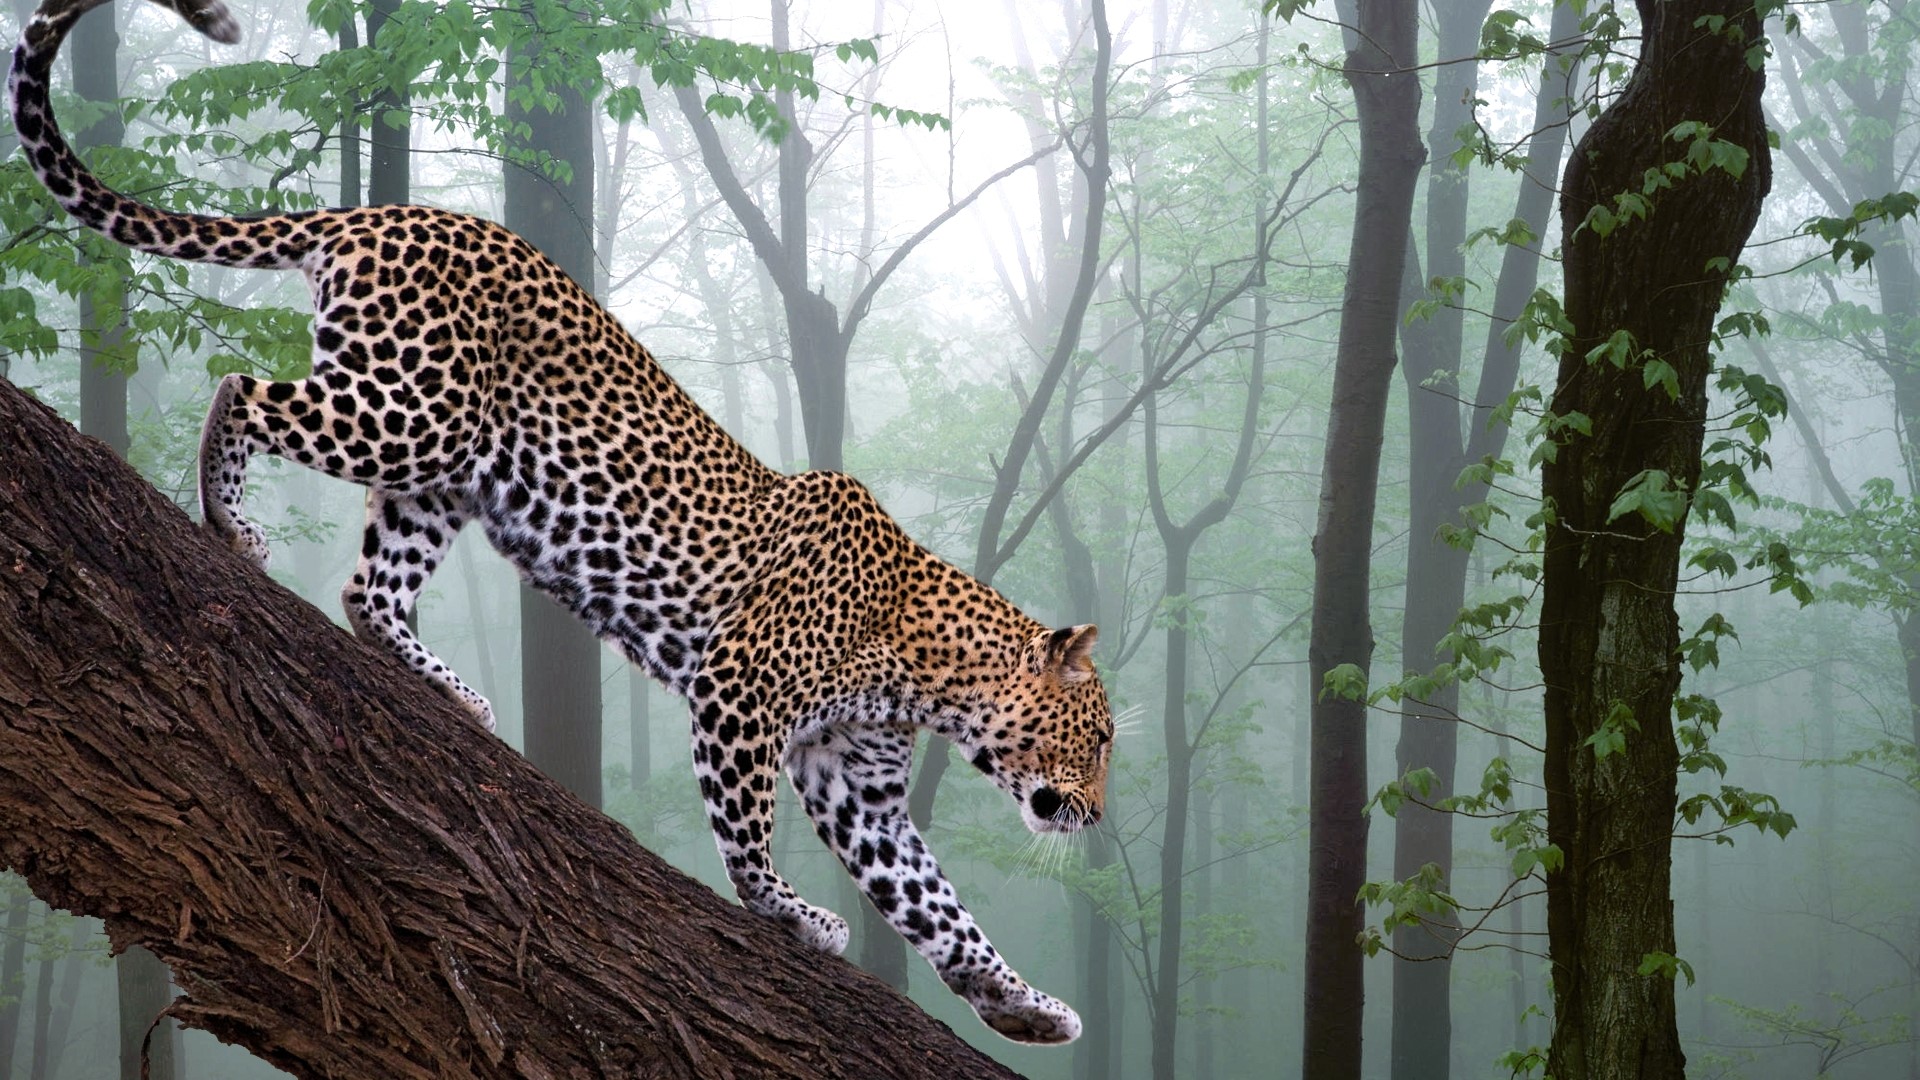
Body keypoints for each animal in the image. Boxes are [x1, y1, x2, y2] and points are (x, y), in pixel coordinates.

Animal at [12, 0, 1116, 1045]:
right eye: (1100, 734)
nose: (1099, 817)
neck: (930, 673)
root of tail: (380, 210)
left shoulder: (861, 790)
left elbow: (940, 909)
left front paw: (1022, 1005)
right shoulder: (739, 695)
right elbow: (748, 831)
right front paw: (789, 914)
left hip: (446, 473)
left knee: (369, 589)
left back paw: (454, 694)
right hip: (410, 413)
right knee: (240, 388)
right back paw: (229, 522)